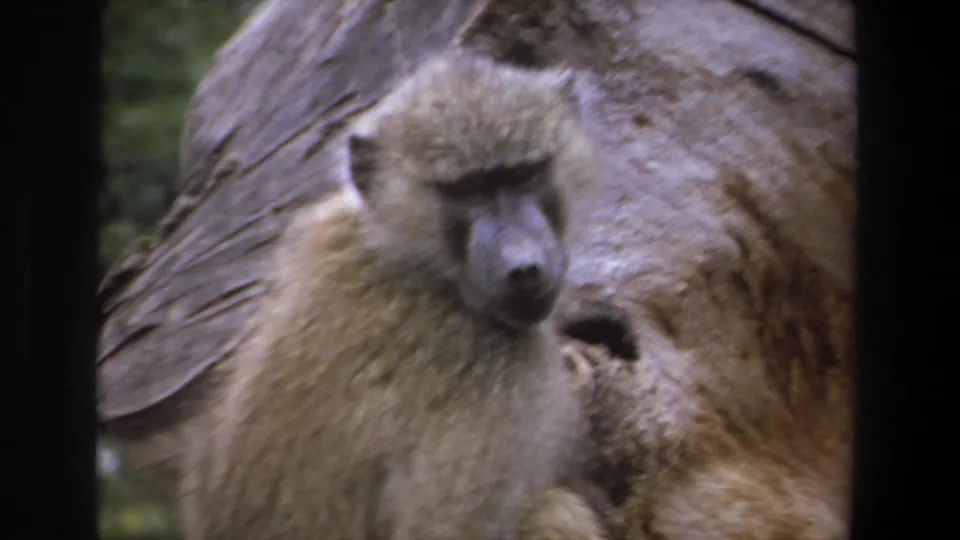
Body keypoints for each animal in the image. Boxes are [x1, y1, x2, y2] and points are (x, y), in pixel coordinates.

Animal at [179, 49, 609, 540]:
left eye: (524, 174)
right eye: (466, 190)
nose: (523, 266)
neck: (413, 262)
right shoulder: (491, 368)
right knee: (558, 511)